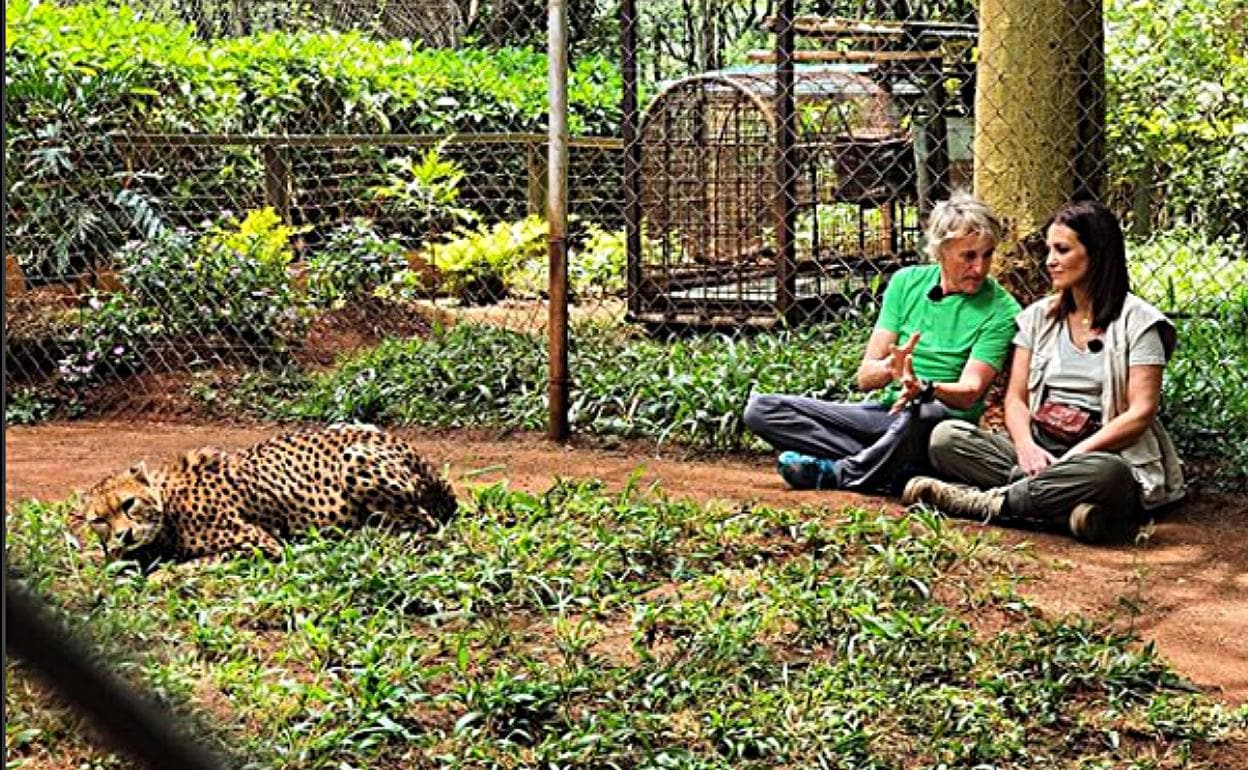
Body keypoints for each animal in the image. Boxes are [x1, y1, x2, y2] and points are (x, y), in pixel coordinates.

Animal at [85, 424, 461, 561]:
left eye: (129, 503)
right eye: (98, 520)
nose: (124, 535)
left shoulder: (260, 544)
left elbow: (189, 565)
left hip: (356, 456)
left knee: (422, 524)